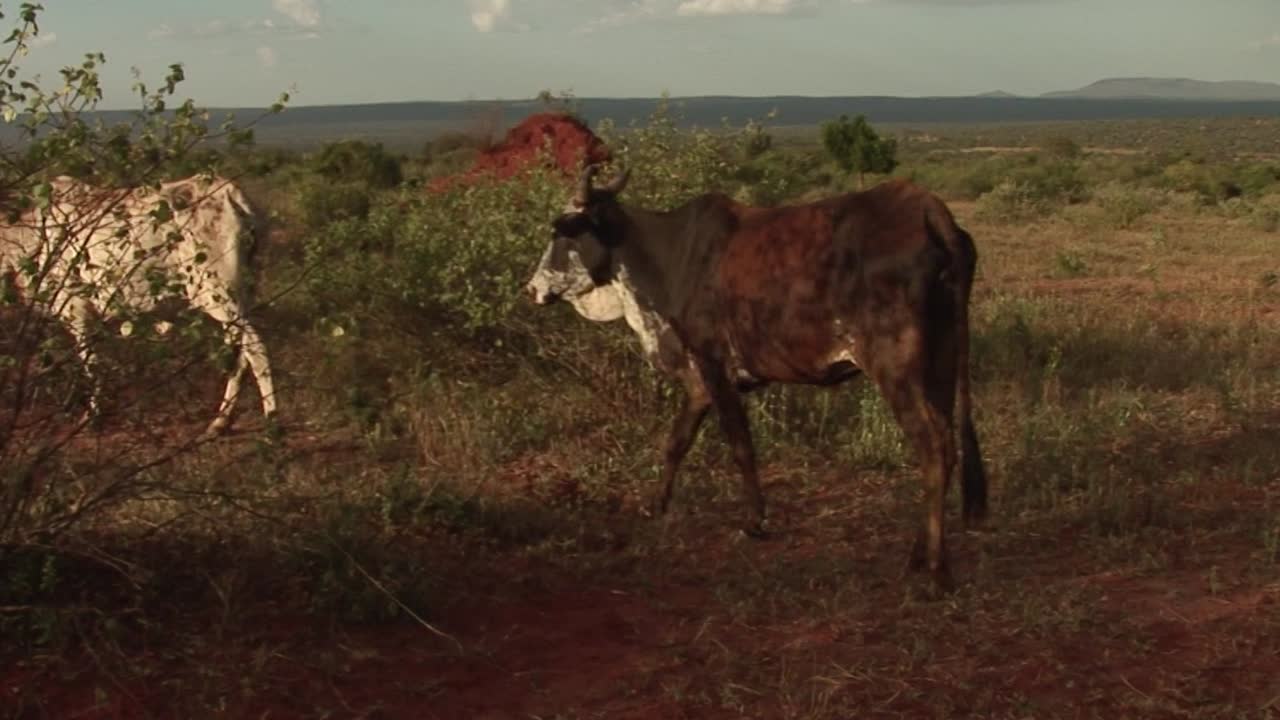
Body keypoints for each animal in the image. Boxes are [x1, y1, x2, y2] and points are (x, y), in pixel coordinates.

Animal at [0, 174, 276, 437]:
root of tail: (230, 193)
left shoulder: (75, 307)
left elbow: (90, 362)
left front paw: (92, 418)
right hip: (239, 295)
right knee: (239, 352)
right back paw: (220, 423)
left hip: (216, 292)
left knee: (255, 346)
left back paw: (271, 421)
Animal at [525, 166, 987, 592]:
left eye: (562, 231)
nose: (531, 289)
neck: (669, 258)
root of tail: (928, 210)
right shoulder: (698, 382)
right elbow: (676, 443)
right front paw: (655, 505)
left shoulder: (714, 365)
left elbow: (741, 447)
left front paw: (754, 521)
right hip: (941, 364)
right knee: (946, 444)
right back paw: (918, 555)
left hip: (896, 371)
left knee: (934, 446)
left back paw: (936, 570)